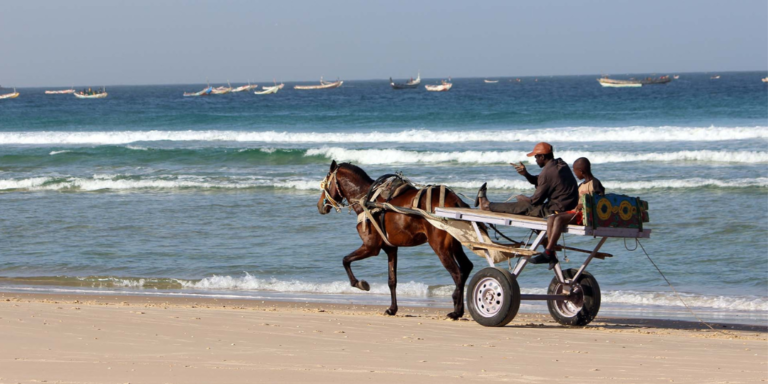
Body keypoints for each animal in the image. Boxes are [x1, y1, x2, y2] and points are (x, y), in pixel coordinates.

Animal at [314, 160, 472, 320]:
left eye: (325, 183)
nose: (320, 205)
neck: (367, 198)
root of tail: (456, 201)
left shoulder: (370, 247)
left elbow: (345, 260)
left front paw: (359, 283)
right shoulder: (390, 248)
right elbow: (392, 280)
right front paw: (392, 308)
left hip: (441, 248)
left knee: (458, 274)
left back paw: (456, 311)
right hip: (455, 244)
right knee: (466, 267)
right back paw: (458, 306)